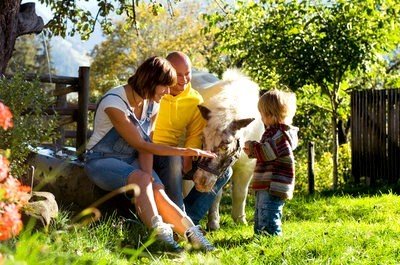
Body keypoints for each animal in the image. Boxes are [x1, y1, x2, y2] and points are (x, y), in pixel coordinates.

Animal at [188, 68, 266, 229]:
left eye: (226, 145)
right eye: (202, 139)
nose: (201, 181)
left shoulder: (247, 167)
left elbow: (240, 193)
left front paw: (240, 220)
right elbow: (216, 195)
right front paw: (213, 222)